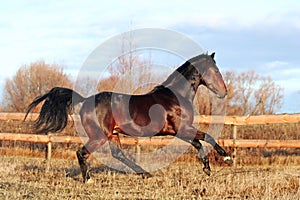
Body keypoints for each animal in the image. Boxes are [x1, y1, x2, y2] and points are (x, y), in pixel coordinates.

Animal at [25, 52, 232, 182]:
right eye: (216, 70)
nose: (224, 92)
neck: (175, 96)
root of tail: (84, 101)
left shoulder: (179, 131)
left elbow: (199, 142)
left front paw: (208, 167)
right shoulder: (182, 129)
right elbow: (207, 137)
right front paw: (226, 158)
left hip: (113, 134)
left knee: (118, 154)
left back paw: (145, 174)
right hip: (99, 136)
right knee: (82, 153)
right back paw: (89, 180)